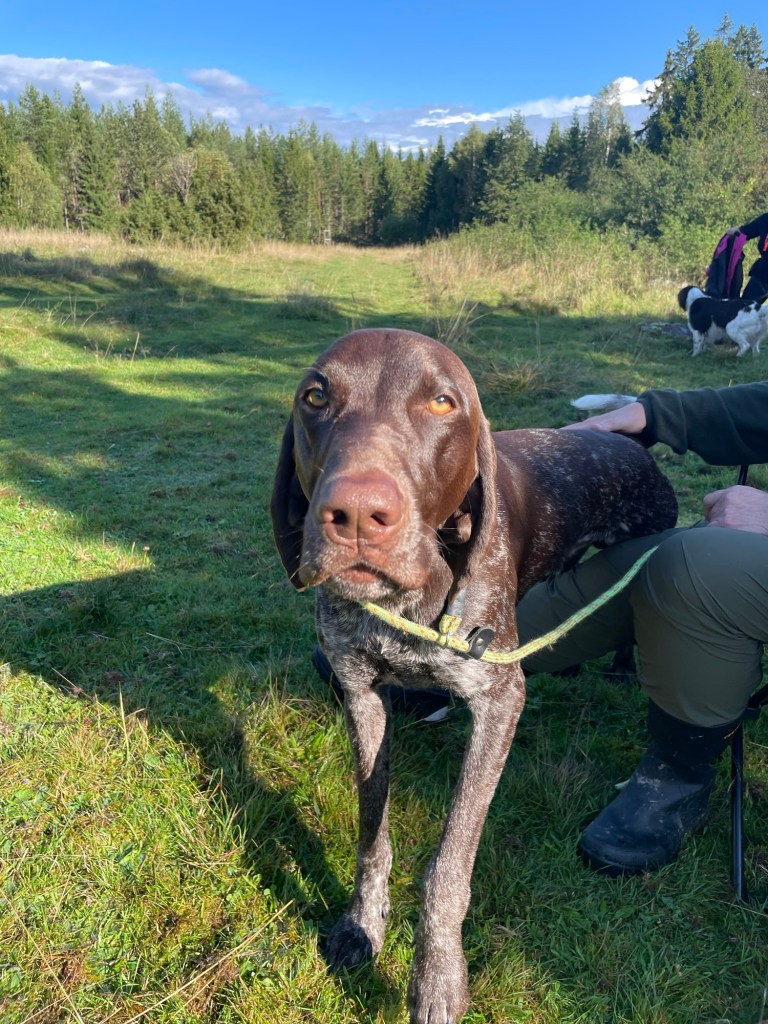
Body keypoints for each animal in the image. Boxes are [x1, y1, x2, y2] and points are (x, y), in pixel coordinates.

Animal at [270, 328, 678, 1024]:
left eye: (442, 403)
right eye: (315, 397)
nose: (356, 514)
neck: (412, 603)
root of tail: (627, 442)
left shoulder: (498, 703)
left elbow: (447, 864)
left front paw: (436, 978)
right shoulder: (361, 692)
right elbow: (372, 830)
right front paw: (362, 924)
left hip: (651, 548)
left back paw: (624, 671)